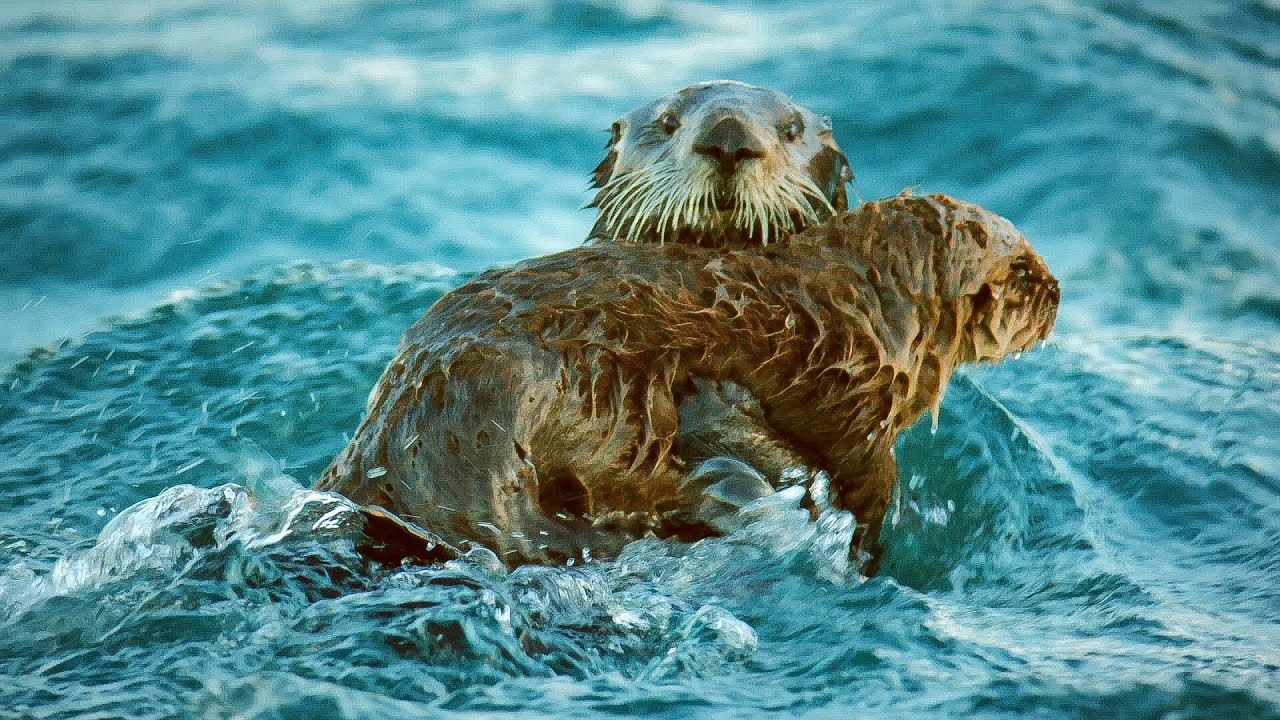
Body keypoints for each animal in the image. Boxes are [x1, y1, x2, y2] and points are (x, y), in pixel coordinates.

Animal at [320, 193, 1059, 563]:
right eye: (1023, 269)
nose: (1056, 292)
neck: (862, 311)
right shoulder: (859, 410)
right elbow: (868, 486)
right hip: (556, 395)